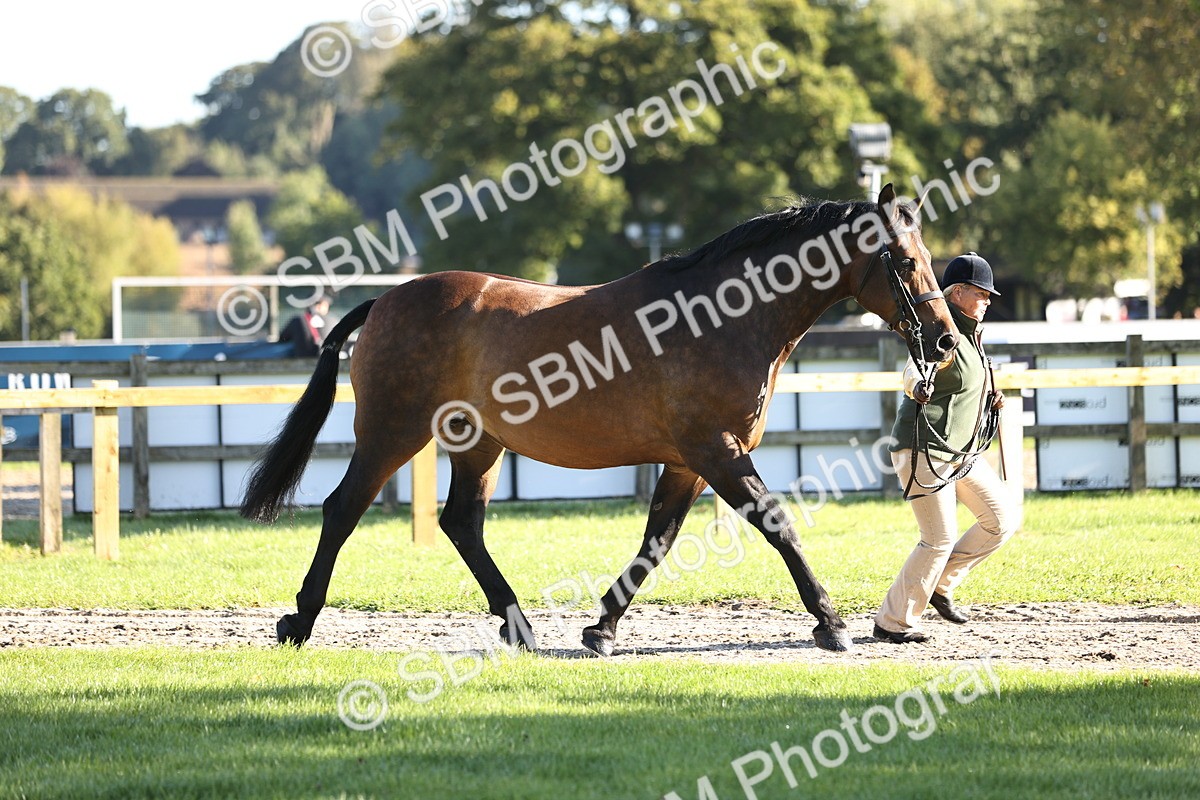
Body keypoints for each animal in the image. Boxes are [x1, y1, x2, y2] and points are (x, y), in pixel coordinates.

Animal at [240, 183, 957, 655]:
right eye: (905, 260)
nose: (947, 340)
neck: (723, 315)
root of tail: (387, 299)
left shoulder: (686, 462)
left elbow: (656, 542)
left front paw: (600, 629)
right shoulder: (716, 450)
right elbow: (777, 523)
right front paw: (831, 624)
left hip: (479, 444)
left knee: (461, 522)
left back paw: (519, 625)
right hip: (393, 433)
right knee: (343, 510)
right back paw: (299, 622)